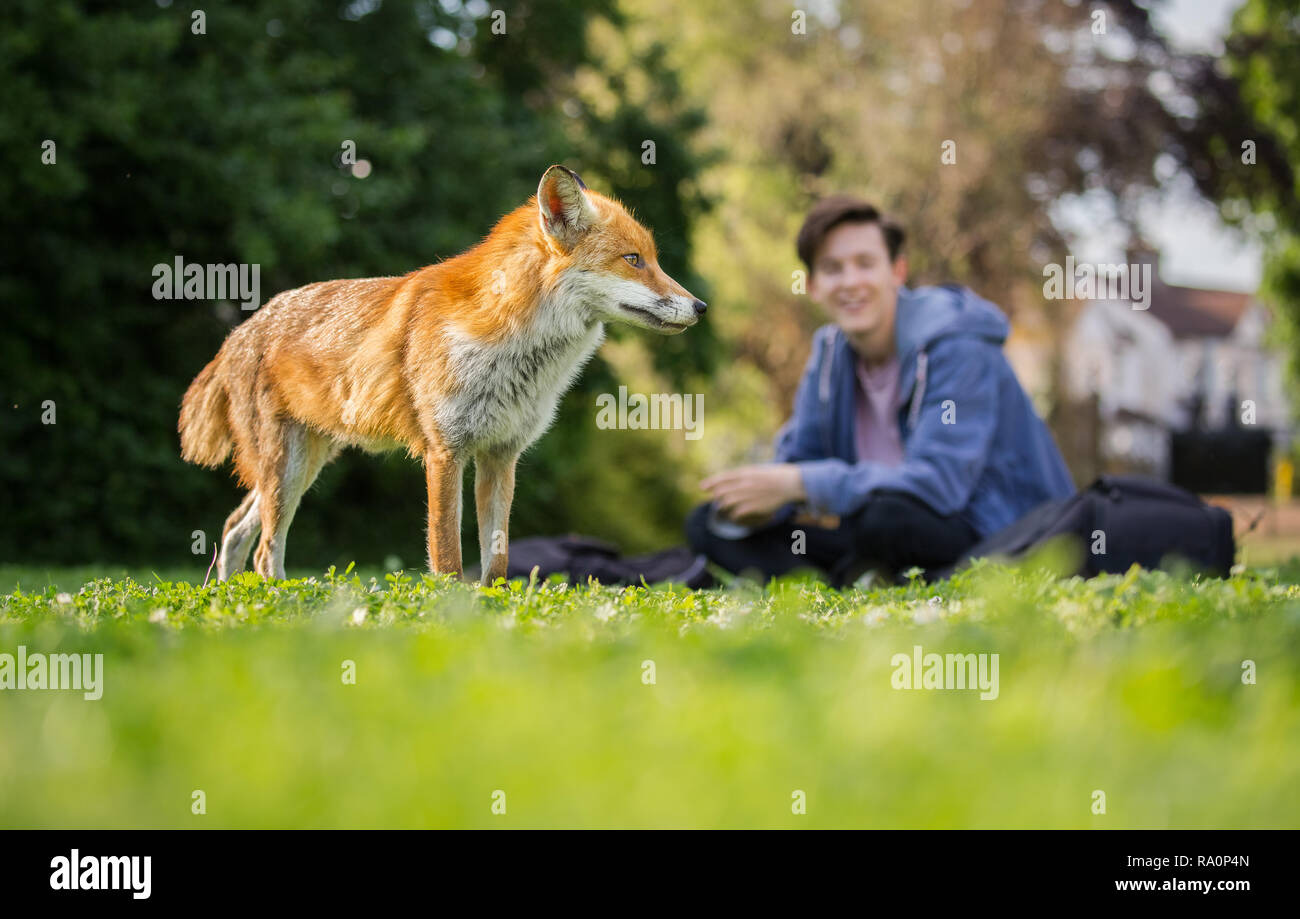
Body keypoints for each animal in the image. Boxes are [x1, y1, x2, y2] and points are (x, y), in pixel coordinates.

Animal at [178, 165, 707, 582]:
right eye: (633, 260)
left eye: (654, 259)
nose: (701, 307)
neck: (516, 355)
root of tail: (245, 326)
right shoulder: (445, 451)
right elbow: (448, 556)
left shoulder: (501, 453)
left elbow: (497, 559)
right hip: (286, 469)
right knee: (265, 548)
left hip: (305, 465)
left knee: (235, 530)